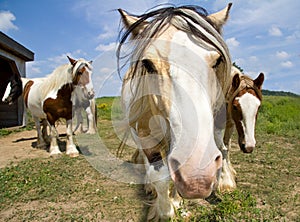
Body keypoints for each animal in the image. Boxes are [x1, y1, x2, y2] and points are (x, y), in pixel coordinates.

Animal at [117, 3, 232, 220]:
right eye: (147, 64)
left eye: (217, 61)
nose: (197, 175)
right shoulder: (145, 135)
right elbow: (158, 175)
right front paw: (165, 212)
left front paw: (178, 203)